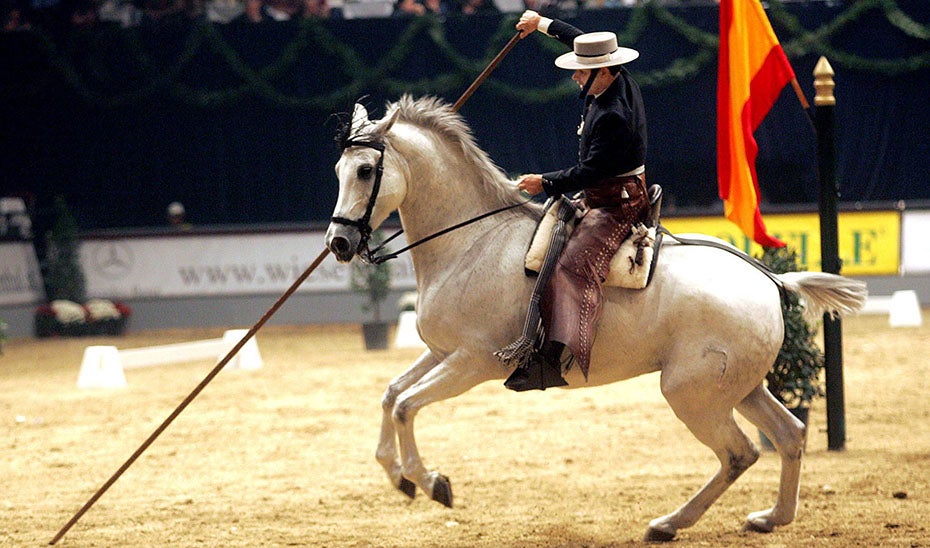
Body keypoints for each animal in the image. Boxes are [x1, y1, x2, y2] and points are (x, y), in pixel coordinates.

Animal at [324, 95, 867, 541]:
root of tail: (770, 280)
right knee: (788, 435)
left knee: (740, 452)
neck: (473, 242)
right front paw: (397, 474)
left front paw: (431, 481)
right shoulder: (440, 353)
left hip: (692, 393)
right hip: (742, 387)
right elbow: (391, 393)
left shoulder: (471, 363)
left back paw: (669, 523)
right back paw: (770, 518)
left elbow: (405, 406)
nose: (339, 243)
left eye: (366, 171)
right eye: (338, 170)